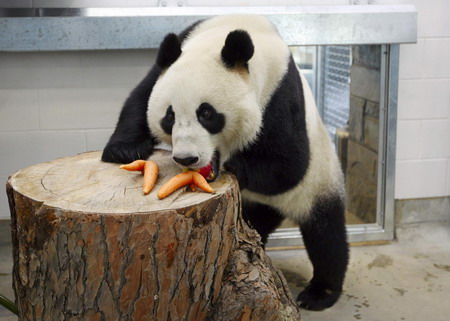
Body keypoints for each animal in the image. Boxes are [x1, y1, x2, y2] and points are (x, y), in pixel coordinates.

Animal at [102, 15, 348, 310]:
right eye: (170, 116)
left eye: (207, 113)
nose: (186, 158)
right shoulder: (168, 62)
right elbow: (139, 100)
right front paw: (122, 151)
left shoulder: (280, 97)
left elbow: (289, 165)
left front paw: (234, 166)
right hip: (262, 203)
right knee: (259, 219)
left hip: (319, 180)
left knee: (326, 234)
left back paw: (320, 292)